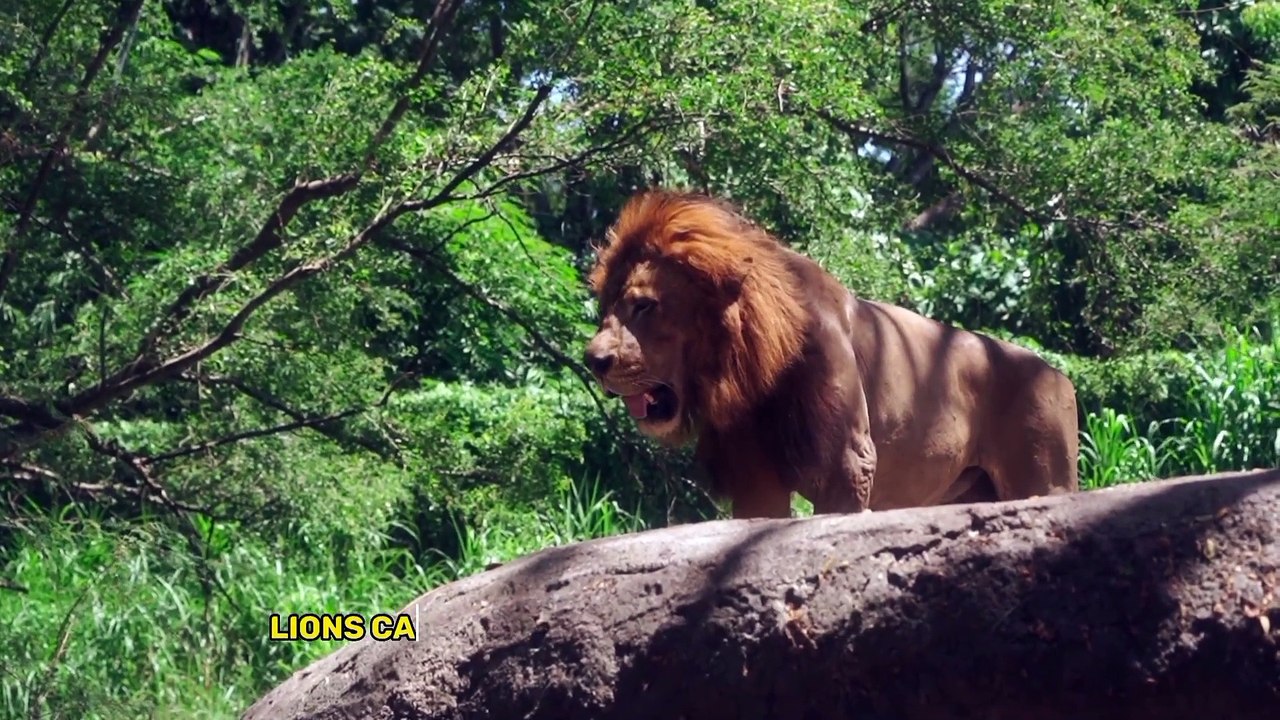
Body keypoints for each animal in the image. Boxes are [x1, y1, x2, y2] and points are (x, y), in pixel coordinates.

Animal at [583, 189, 1080, 519]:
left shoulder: (849, 460)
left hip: (1045, 480)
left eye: (644, 306)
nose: (593, 360)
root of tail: (1059, 375)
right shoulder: (754, 472)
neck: (747, 371)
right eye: (606, 307)